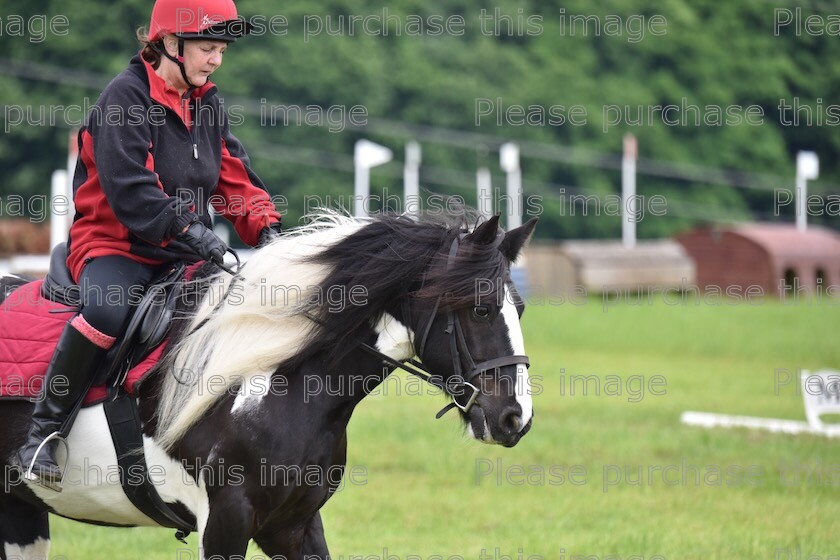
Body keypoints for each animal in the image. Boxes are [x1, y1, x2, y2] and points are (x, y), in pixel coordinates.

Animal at [0, 212, 540, 560]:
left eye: (520, 307)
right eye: (481, 309)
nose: (516, 417)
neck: (273, 380)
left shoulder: (293, 525)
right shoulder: (224, 522)